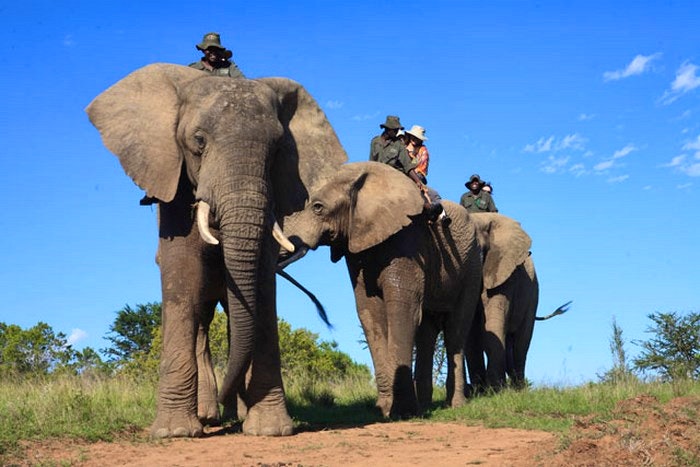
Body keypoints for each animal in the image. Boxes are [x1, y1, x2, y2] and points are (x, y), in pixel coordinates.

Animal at [85, 64, 348, 440]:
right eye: (198, 142)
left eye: (278, 148)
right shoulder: (174, 182)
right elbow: (182, 275)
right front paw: (174, 433)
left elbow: (262, 287)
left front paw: (269, 430)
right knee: (200, 319)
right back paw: (207, 417)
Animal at [282, 162, 484, 416]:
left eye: (318, 208)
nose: (325, 317)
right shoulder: (358, 244)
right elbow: (369, 311)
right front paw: (384, 410)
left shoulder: (407, 240)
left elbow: (403, 309)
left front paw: (402, 412)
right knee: (427, 332)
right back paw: (425, 406)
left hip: (471, 266)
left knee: (456, 330)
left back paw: (454, 406)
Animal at [464, 214, 568, 394]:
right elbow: (472, 336)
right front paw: (479, 391)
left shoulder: (504, 274)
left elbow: (491, 328)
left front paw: (494, 390)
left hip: (532, 296)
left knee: (521, 344)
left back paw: (519, 389)